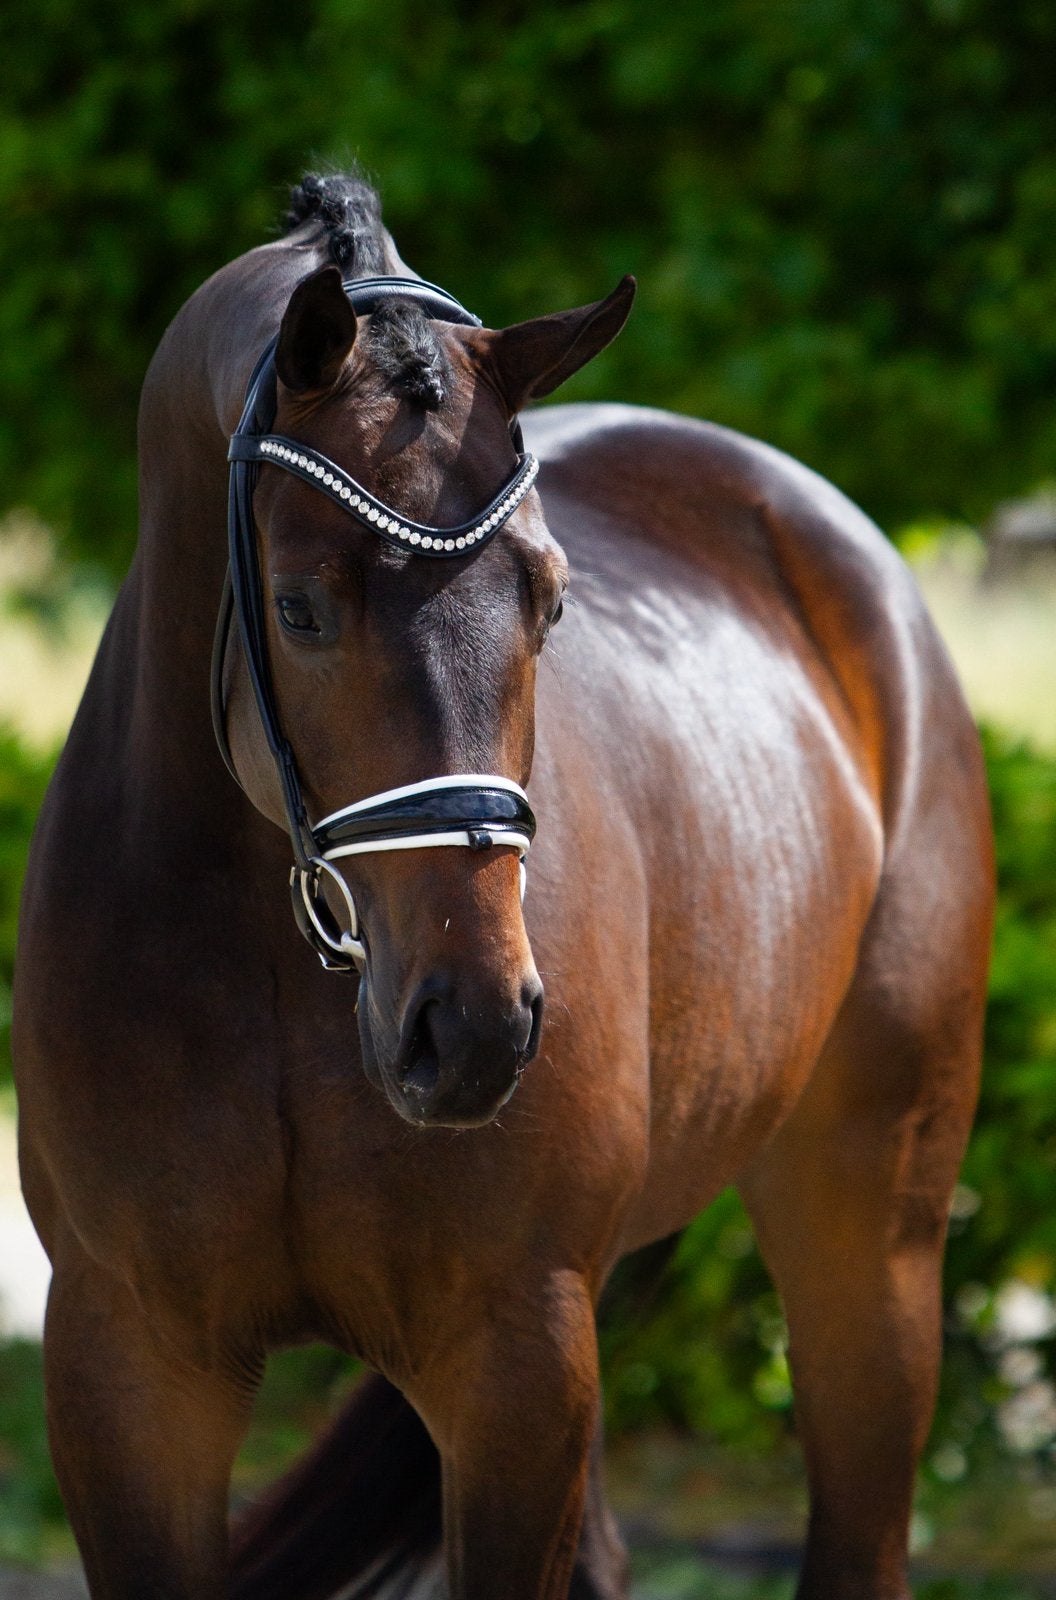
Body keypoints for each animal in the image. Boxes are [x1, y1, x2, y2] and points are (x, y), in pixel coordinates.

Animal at [13, 171, 994, 1600]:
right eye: (300, 608)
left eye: (551, 599)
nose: (472, 1027)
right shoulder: (128, 1363)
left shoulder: (514, 1355)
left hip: (871, 1232)